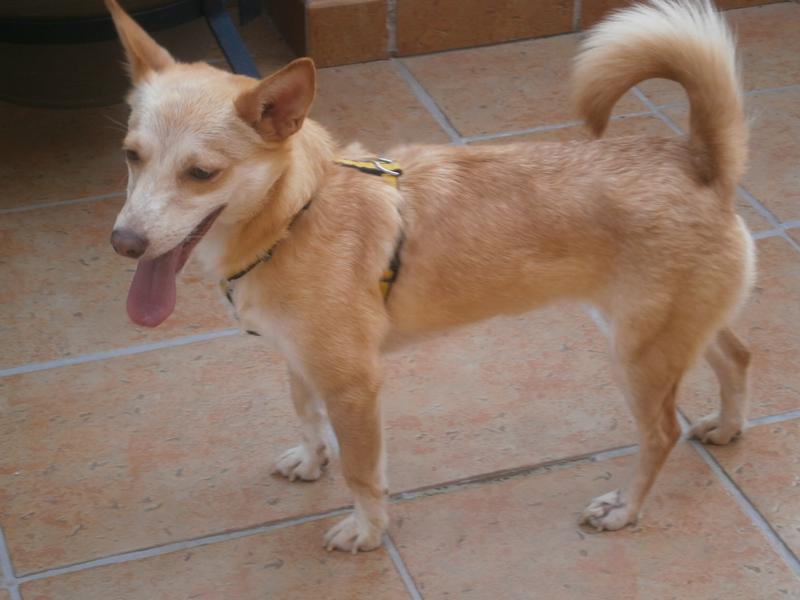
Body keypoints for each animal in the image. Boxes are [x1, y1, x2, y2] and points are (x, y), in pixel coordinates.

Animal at [106, 0, 754, 552]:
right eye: (131, 155)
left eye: (202, 173)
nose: (124, 243)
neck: (296, 214)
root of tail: (699, 160)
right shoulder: (299, 357)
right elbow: (307, 416)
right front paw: (313, 461)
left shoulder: (354, 385)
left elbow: (362, 471)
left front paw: (368, 531)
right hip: (666, 331)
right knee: (737, 355)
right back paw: (727, 426)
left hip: (638, 353)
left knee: (662, 433)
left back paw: (625, 508)